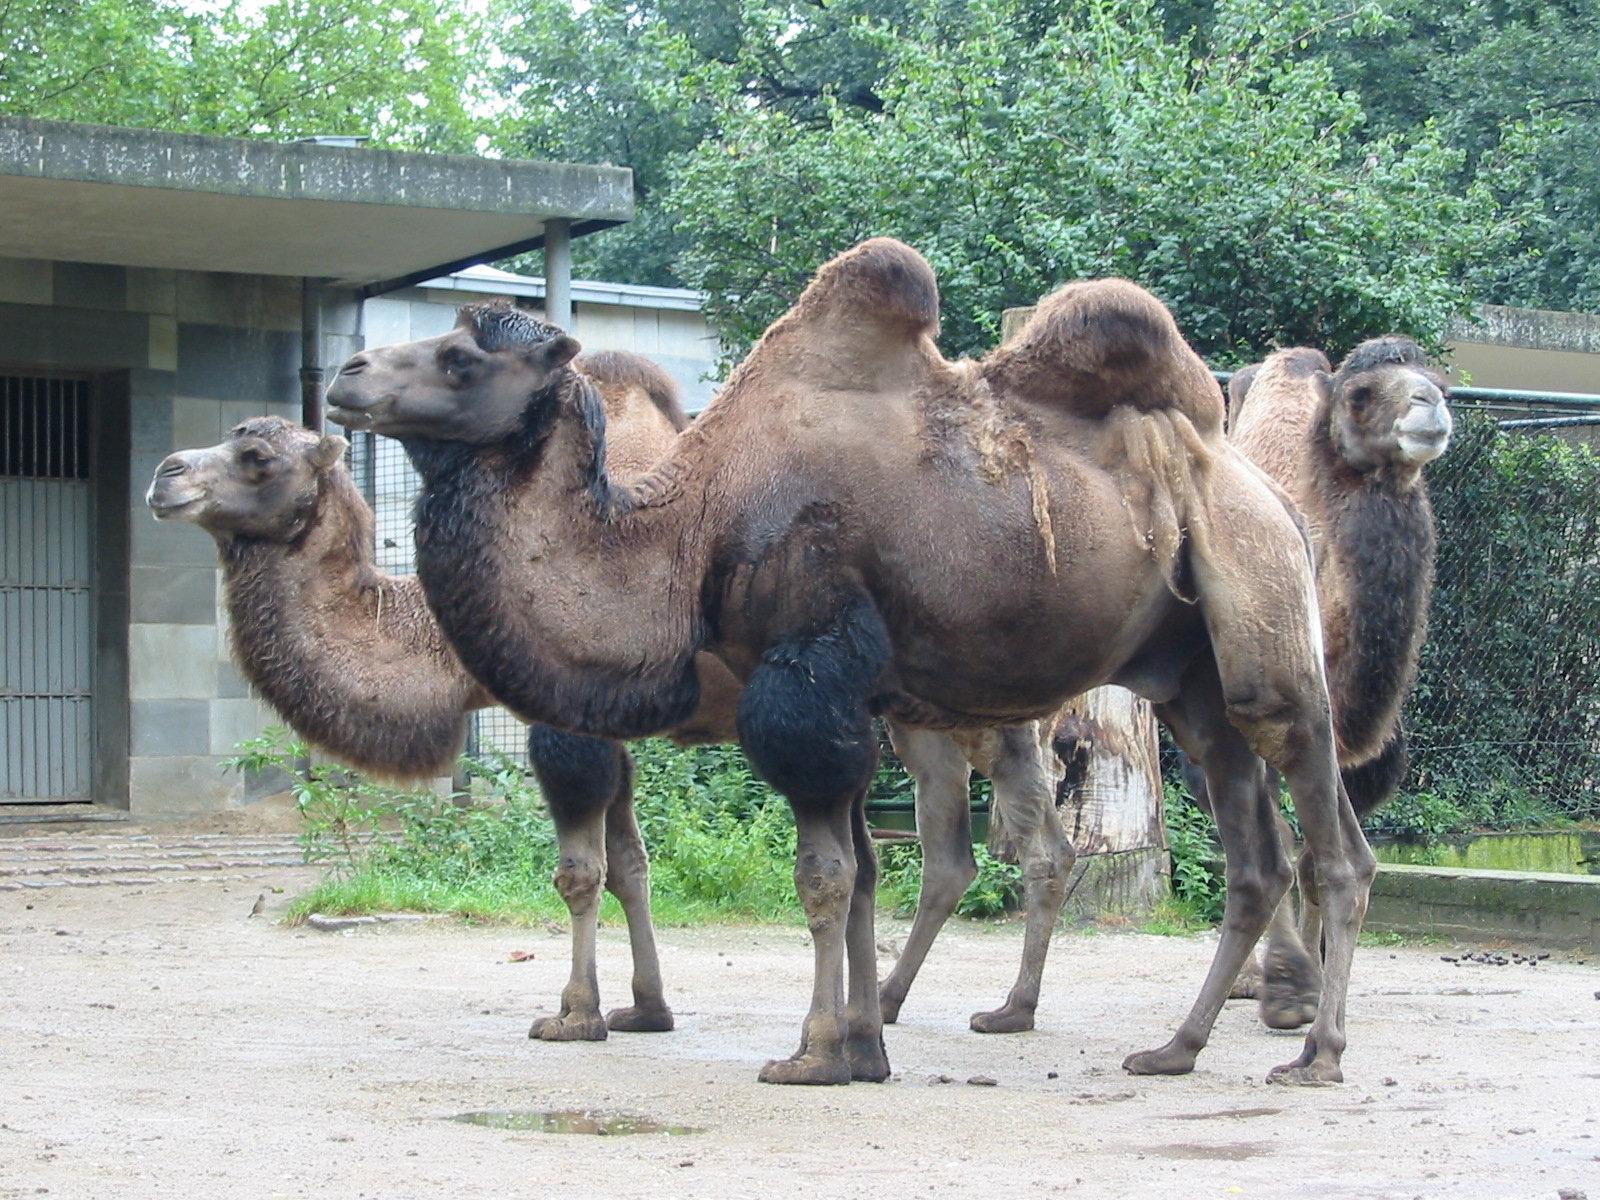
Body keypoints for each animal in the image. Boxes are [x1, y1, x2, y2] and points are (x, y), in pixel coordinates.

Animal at [146, 413, 1072, 1043]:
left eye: (257, 458)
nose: (164, 474)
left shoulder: (564, 723)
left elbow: (579, 872)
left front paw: (574, 1013)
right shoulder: (610, 726)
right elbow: (630, 864)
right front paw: (646, 1007)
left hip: (976, 704)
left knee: (1020, 845)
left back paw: (993, 1008)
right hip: (934, 718)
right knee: (972, 854)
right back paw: (922, 1003)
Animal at [325, 237, 1373, 1087]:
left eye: (460, 358)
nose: (346, 373)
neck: (692, 531)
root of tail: (1269, 493)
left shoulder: (806, 675)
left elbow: (824, 875)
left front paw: (816, 1053)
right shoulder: (856, 696)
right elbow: (866, 872)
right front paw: (864, 1045)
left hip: (1266, 638)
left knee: (1333, 841)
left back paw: (1316, 1055)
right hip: (1191, 680)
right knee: (1254, 859)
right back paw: (1173, 1049)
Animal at [1217, 338, 1452, 1026]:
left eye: (1441, 383)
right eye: (1361, 395)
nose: (1430, 406)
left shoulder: (1355, 754)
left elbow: (1325, 860)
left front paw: (1316, 982)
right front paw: (1288, 990)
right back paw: (1251, 978)